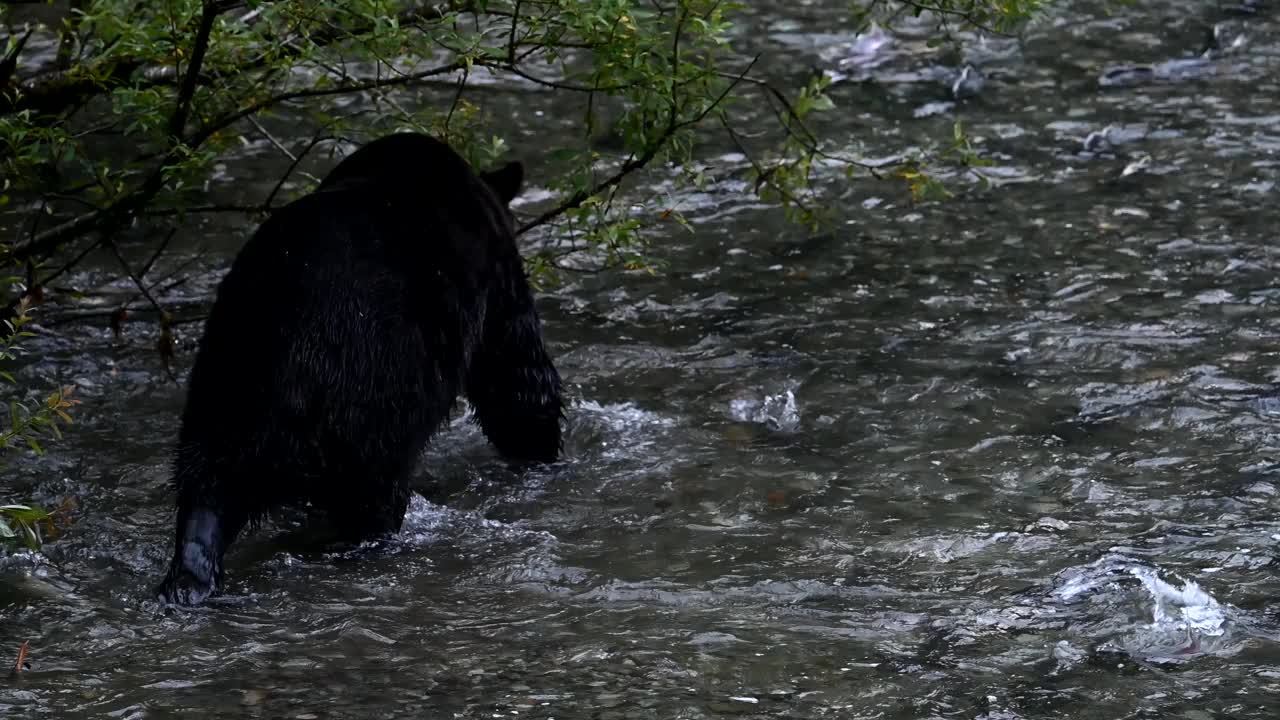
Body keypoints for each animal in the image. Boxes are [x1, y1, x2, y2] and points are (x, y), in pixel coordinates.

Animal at [154, 131, 565, 602]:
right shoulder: (494, 274)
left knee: (207, 483)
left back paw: (189, 579)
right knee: (373, 490)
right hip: (372, 392)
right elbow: (516, 371)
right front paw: (540, 449)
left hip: (222, 380)